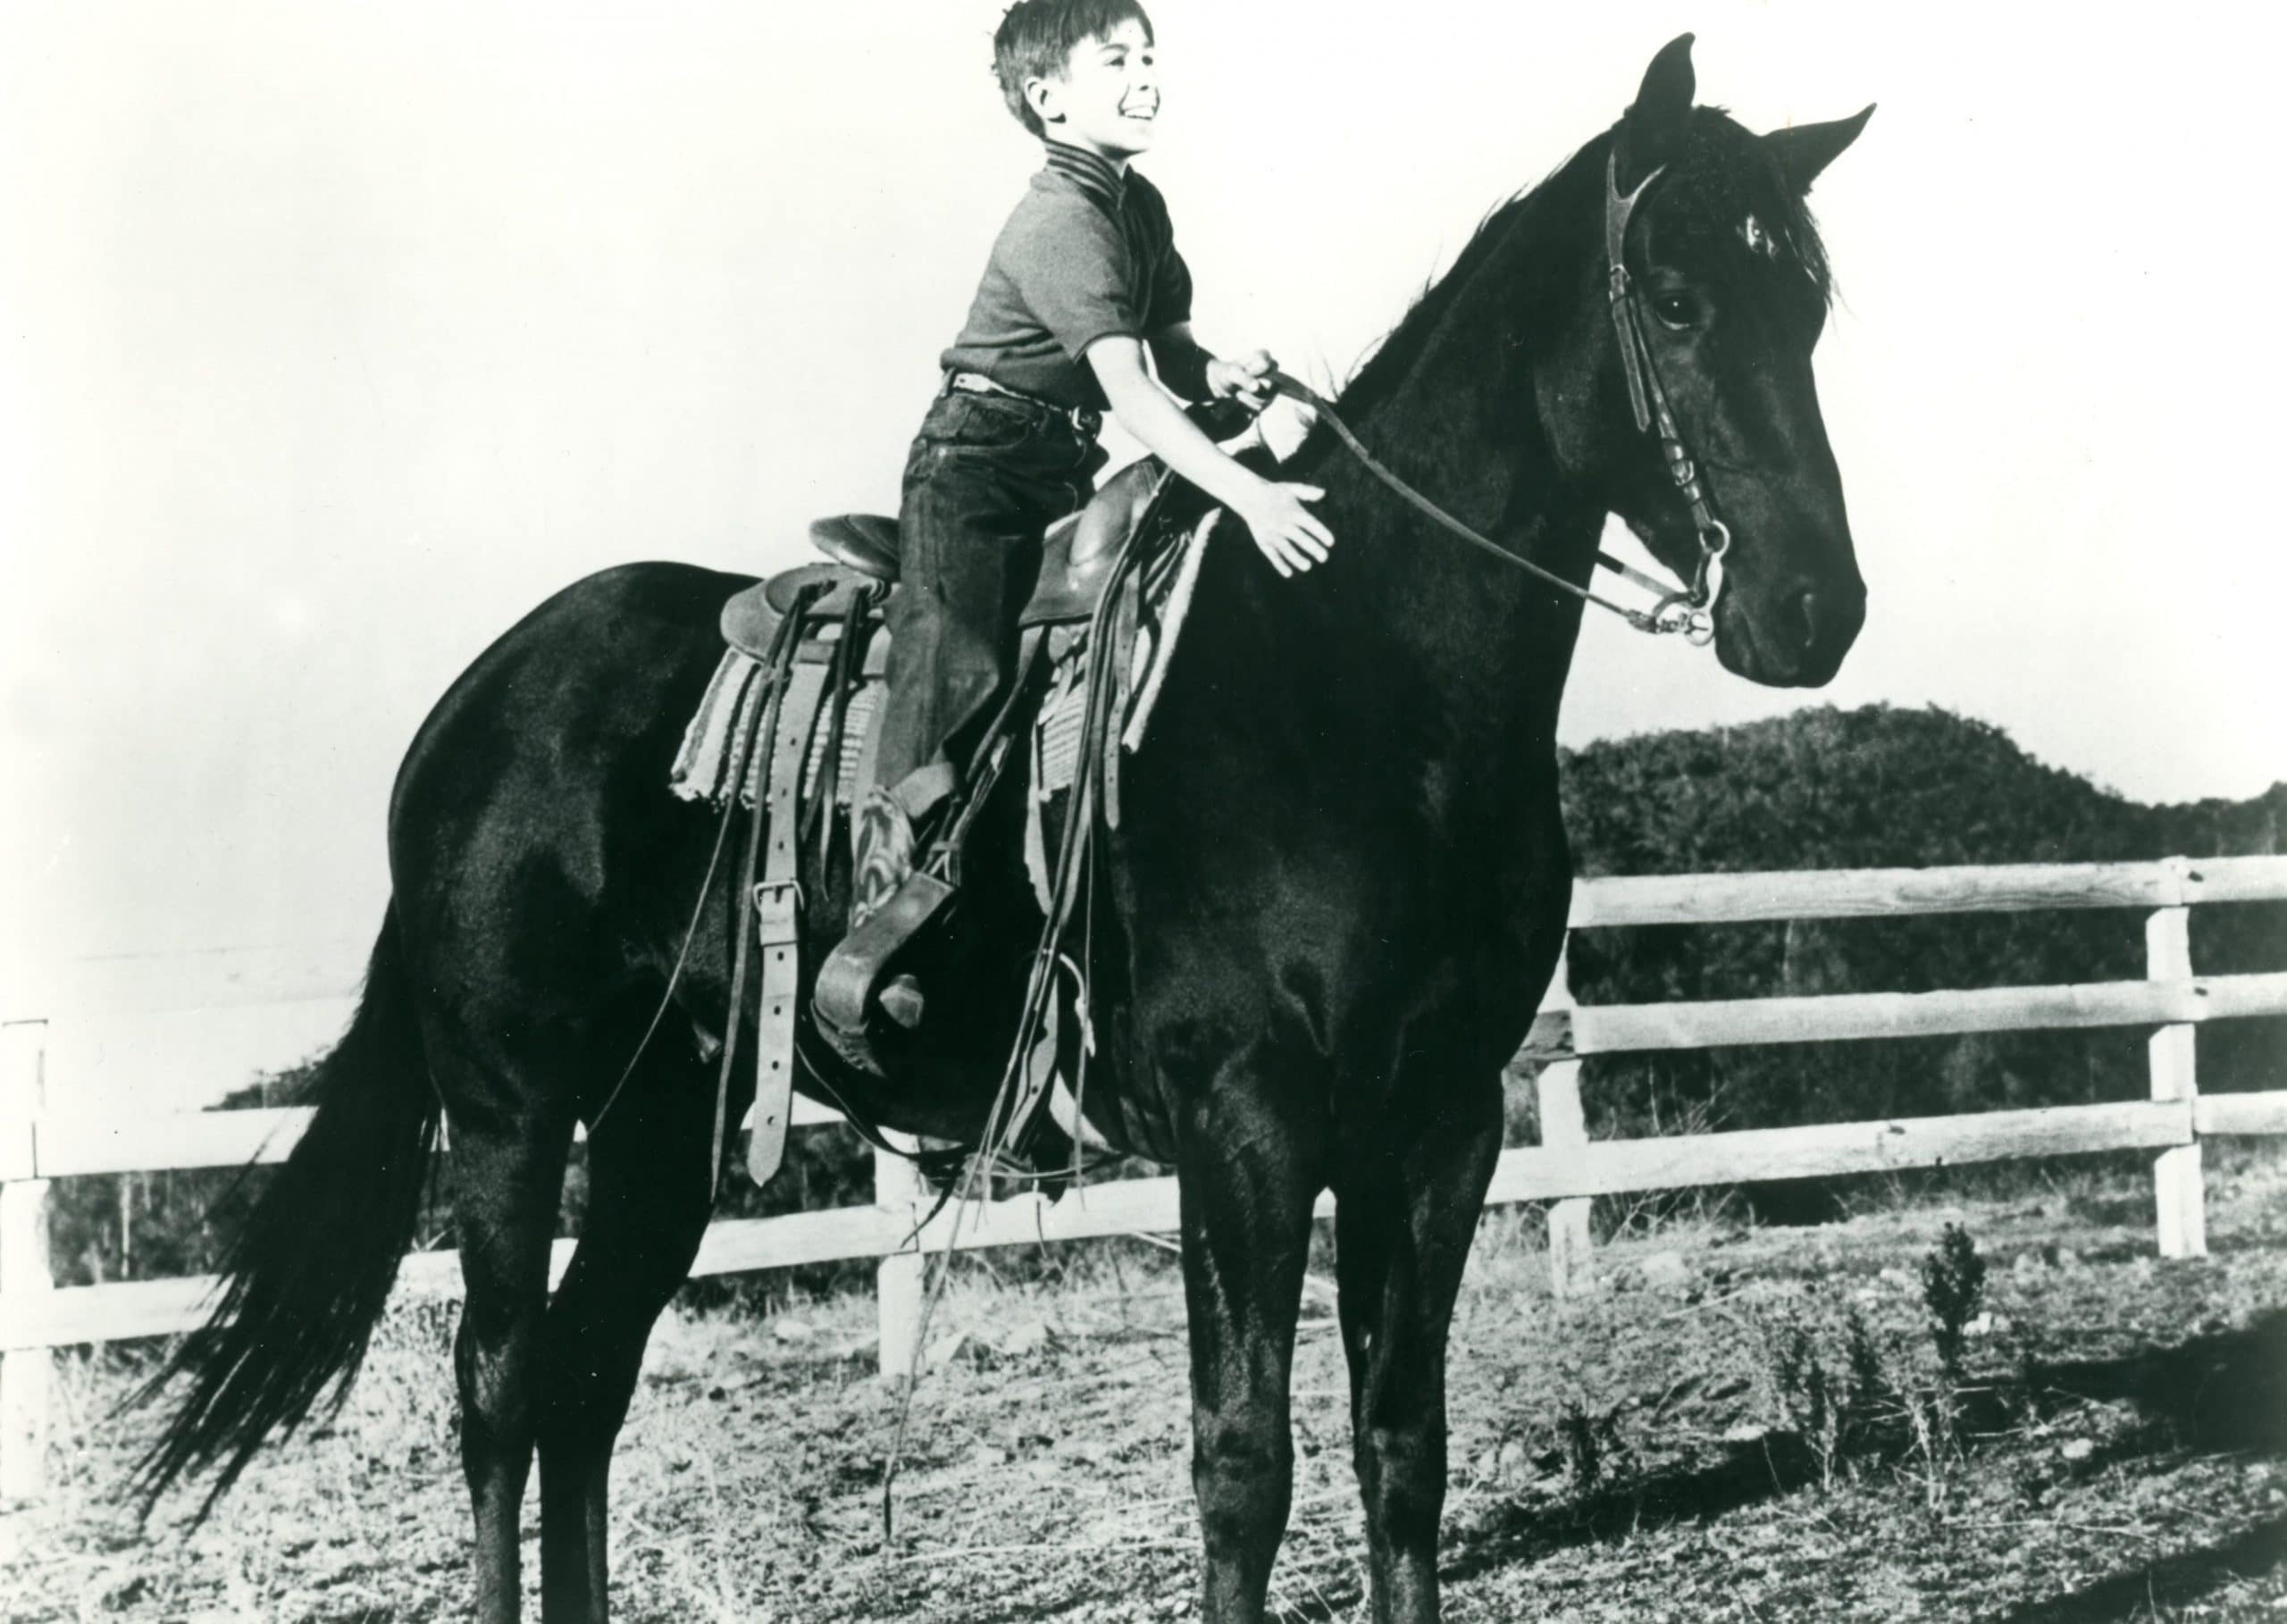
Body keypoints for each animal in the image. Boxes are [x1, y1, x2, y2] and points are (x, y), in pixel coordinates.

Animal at [143, 38, 1865, 1624]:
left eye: (1814, 303)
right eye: (1679, 297)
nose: (1814, 612)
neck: (1354, 678)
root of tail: (470, 705)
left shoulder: (1438, 1126)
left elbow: (1403, 1447)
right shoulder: (1245, 1125)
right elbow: (1244, 1461)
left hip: (661, 1125)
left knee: (583, 1379)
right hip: (512, 1110)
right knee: (501, 1388)